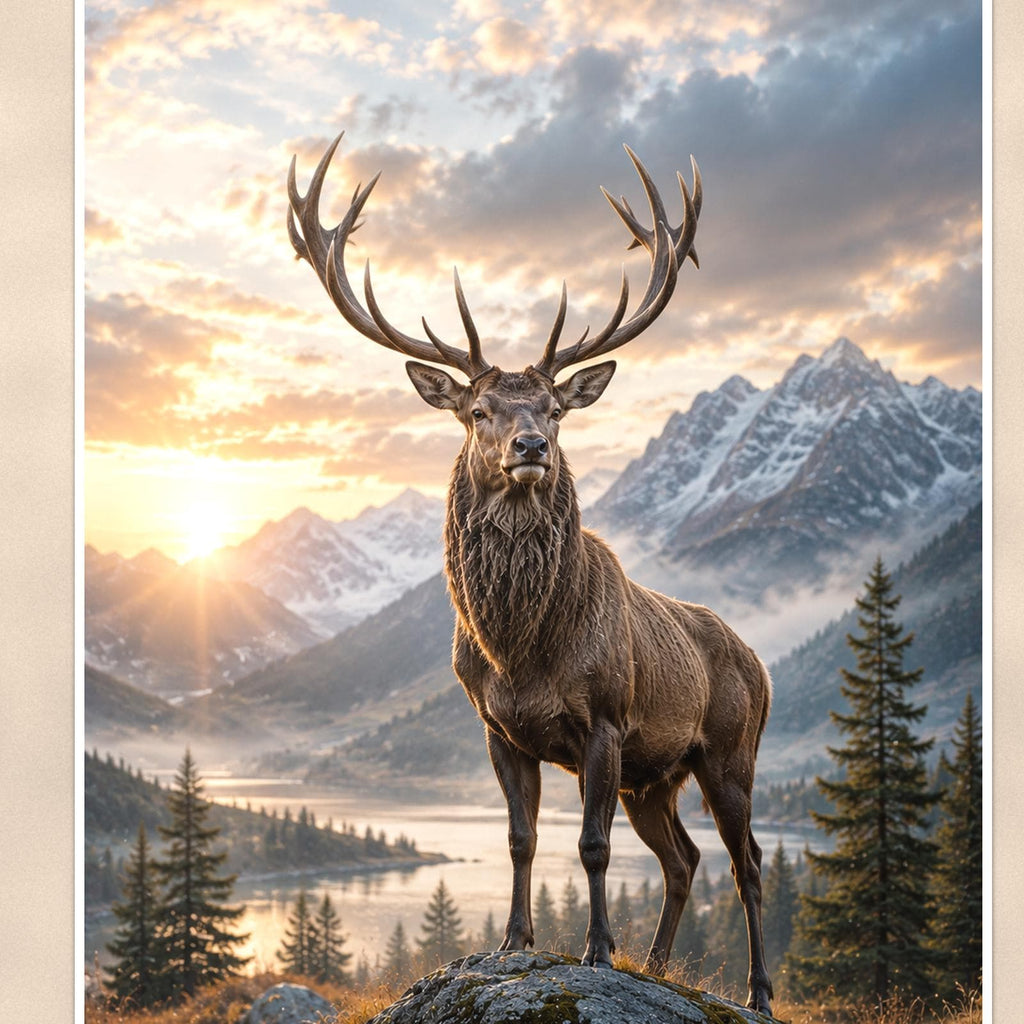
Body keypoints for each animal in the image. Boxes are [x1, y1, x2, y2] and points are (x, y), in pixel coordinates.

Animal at [287, 133, 774, 1015]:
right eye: (478, 410)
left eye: (553, 408)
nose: (530, 447)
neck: (519, 647)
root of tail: (761, 664)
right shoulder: (498, 727)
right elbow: (520, 839)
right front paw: (515, 941)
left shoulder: (607, 721)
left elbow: (589, 847)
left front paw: (598, 950)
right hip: (657, 778)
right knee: (683, 858)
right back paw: (661, 965)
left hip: (729, 750)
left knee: (746, 860)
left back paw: (756, 990)